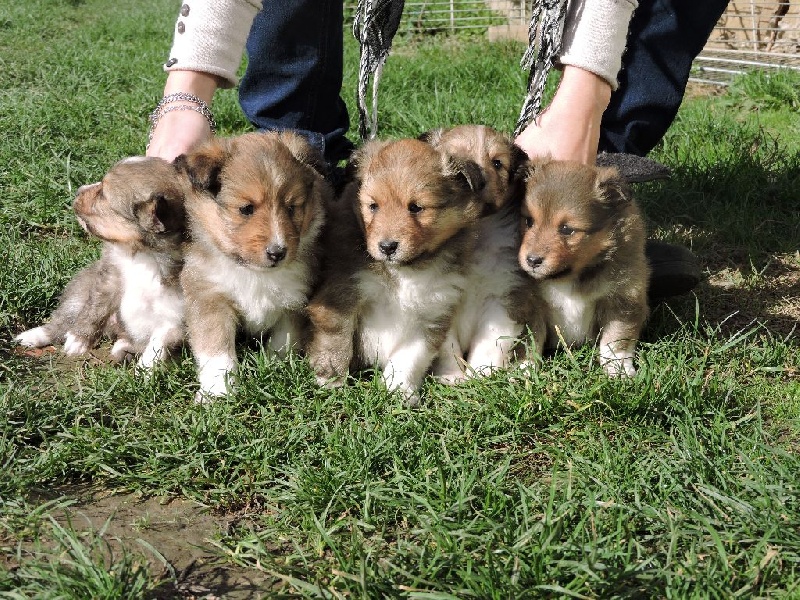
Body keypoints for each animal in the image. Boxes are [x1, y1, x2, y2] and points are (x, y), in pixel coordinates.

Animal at [13, 157, 188, 368]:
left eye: (103, 195)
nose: (78, 189)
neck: (143, 256)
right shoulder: (109, 278)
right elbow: (95, 309)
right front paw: (78, 340)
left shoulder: (173, 317)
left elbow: (156, 348)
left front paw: (144, 371)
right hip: (79, 293)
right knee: (62, 321)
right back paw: (32, 336)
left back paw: (123, 348)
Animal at [176, 132, 332, 404]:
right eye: (246, 209)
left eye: (291, 207)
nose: (277, 252)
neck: (254, 274)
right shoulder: (208, 297)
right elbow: (216, 349)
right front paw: (218, 392)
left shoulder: (294, 302)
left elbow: (282, 341)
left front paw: (273, 367)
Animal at [304, 138, 482, 406]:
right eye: (373, 206)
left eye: (416, 207)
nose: (387, 247)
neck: (406, 271)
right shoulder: (342, 292)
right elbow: (336, 337)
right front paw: (330, 379)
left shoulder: (432, 313)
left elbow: (411, 356)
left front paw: (400, 391)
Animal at [422, 125, 536, 382]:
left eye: (497, 163)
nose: (479, 180)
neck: (476, 235)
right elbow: (447, 347)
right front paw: (453, 377)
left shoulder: (503, 298)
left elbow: (490, 342)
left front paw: (483, 376)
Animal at [520, 159, 648, 376]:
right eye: (529, 221)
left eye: (566, 229)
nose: (532, 260)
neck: (567, 278)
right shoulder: (530, 305)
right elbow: (531, 339)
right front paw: (525, 370)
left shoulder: (623, 298)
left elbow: (617, 337)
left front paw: (618, 368)